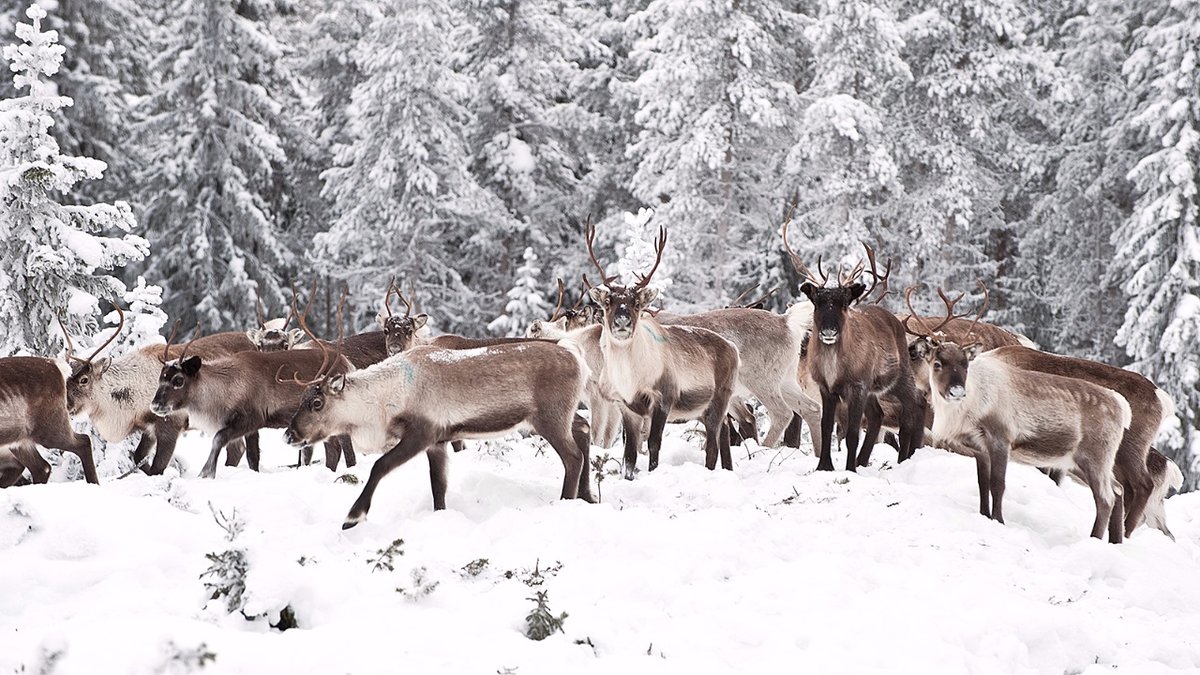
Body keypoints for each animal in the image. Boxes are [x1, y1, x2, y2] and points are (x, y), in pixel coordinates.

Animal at [283, 338, 596, 529]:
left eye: (317, 402)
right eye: (301, 399)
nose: (289, 434)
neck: (384, 401)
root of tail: (577, 357)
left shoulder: (422, 433)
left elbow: (379, 466)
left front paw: (353, 516)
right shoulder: (439, 442)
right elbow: (438, 486)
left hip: (550, 418)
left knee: (572, 456)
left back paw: (567, 502)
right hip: (560, 416)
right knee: (583, 429)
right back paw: (588, 497)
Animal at [579, 220, 741, 479]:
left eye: (636, 303)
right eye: (608, 302)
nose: (622, 322)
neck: (630, 378)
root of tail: (733, 348)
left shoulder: (663, 397)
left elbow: (654, 443)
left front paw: (653, 471)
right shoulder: (627, 407)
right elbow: (629, 453)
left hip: (720, 398)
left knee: (712, 444)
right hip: (705, 409)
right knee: (725, 433)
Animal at [909, 290, 1131, 543]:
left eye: (965, 364)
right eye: (937, 363)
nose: (957, 391)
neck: (968, 408)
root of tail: (1122, 407)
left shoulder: (1001, 438)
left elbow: (998, 484)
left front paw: (999, 520)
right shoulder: (979, 448)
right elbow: (982, 484)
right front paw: (984, 515)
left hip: (1095, 457)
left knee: (1106, 498)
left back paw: (1094, 538)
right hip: (1085, 462)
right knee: (1118, 489)